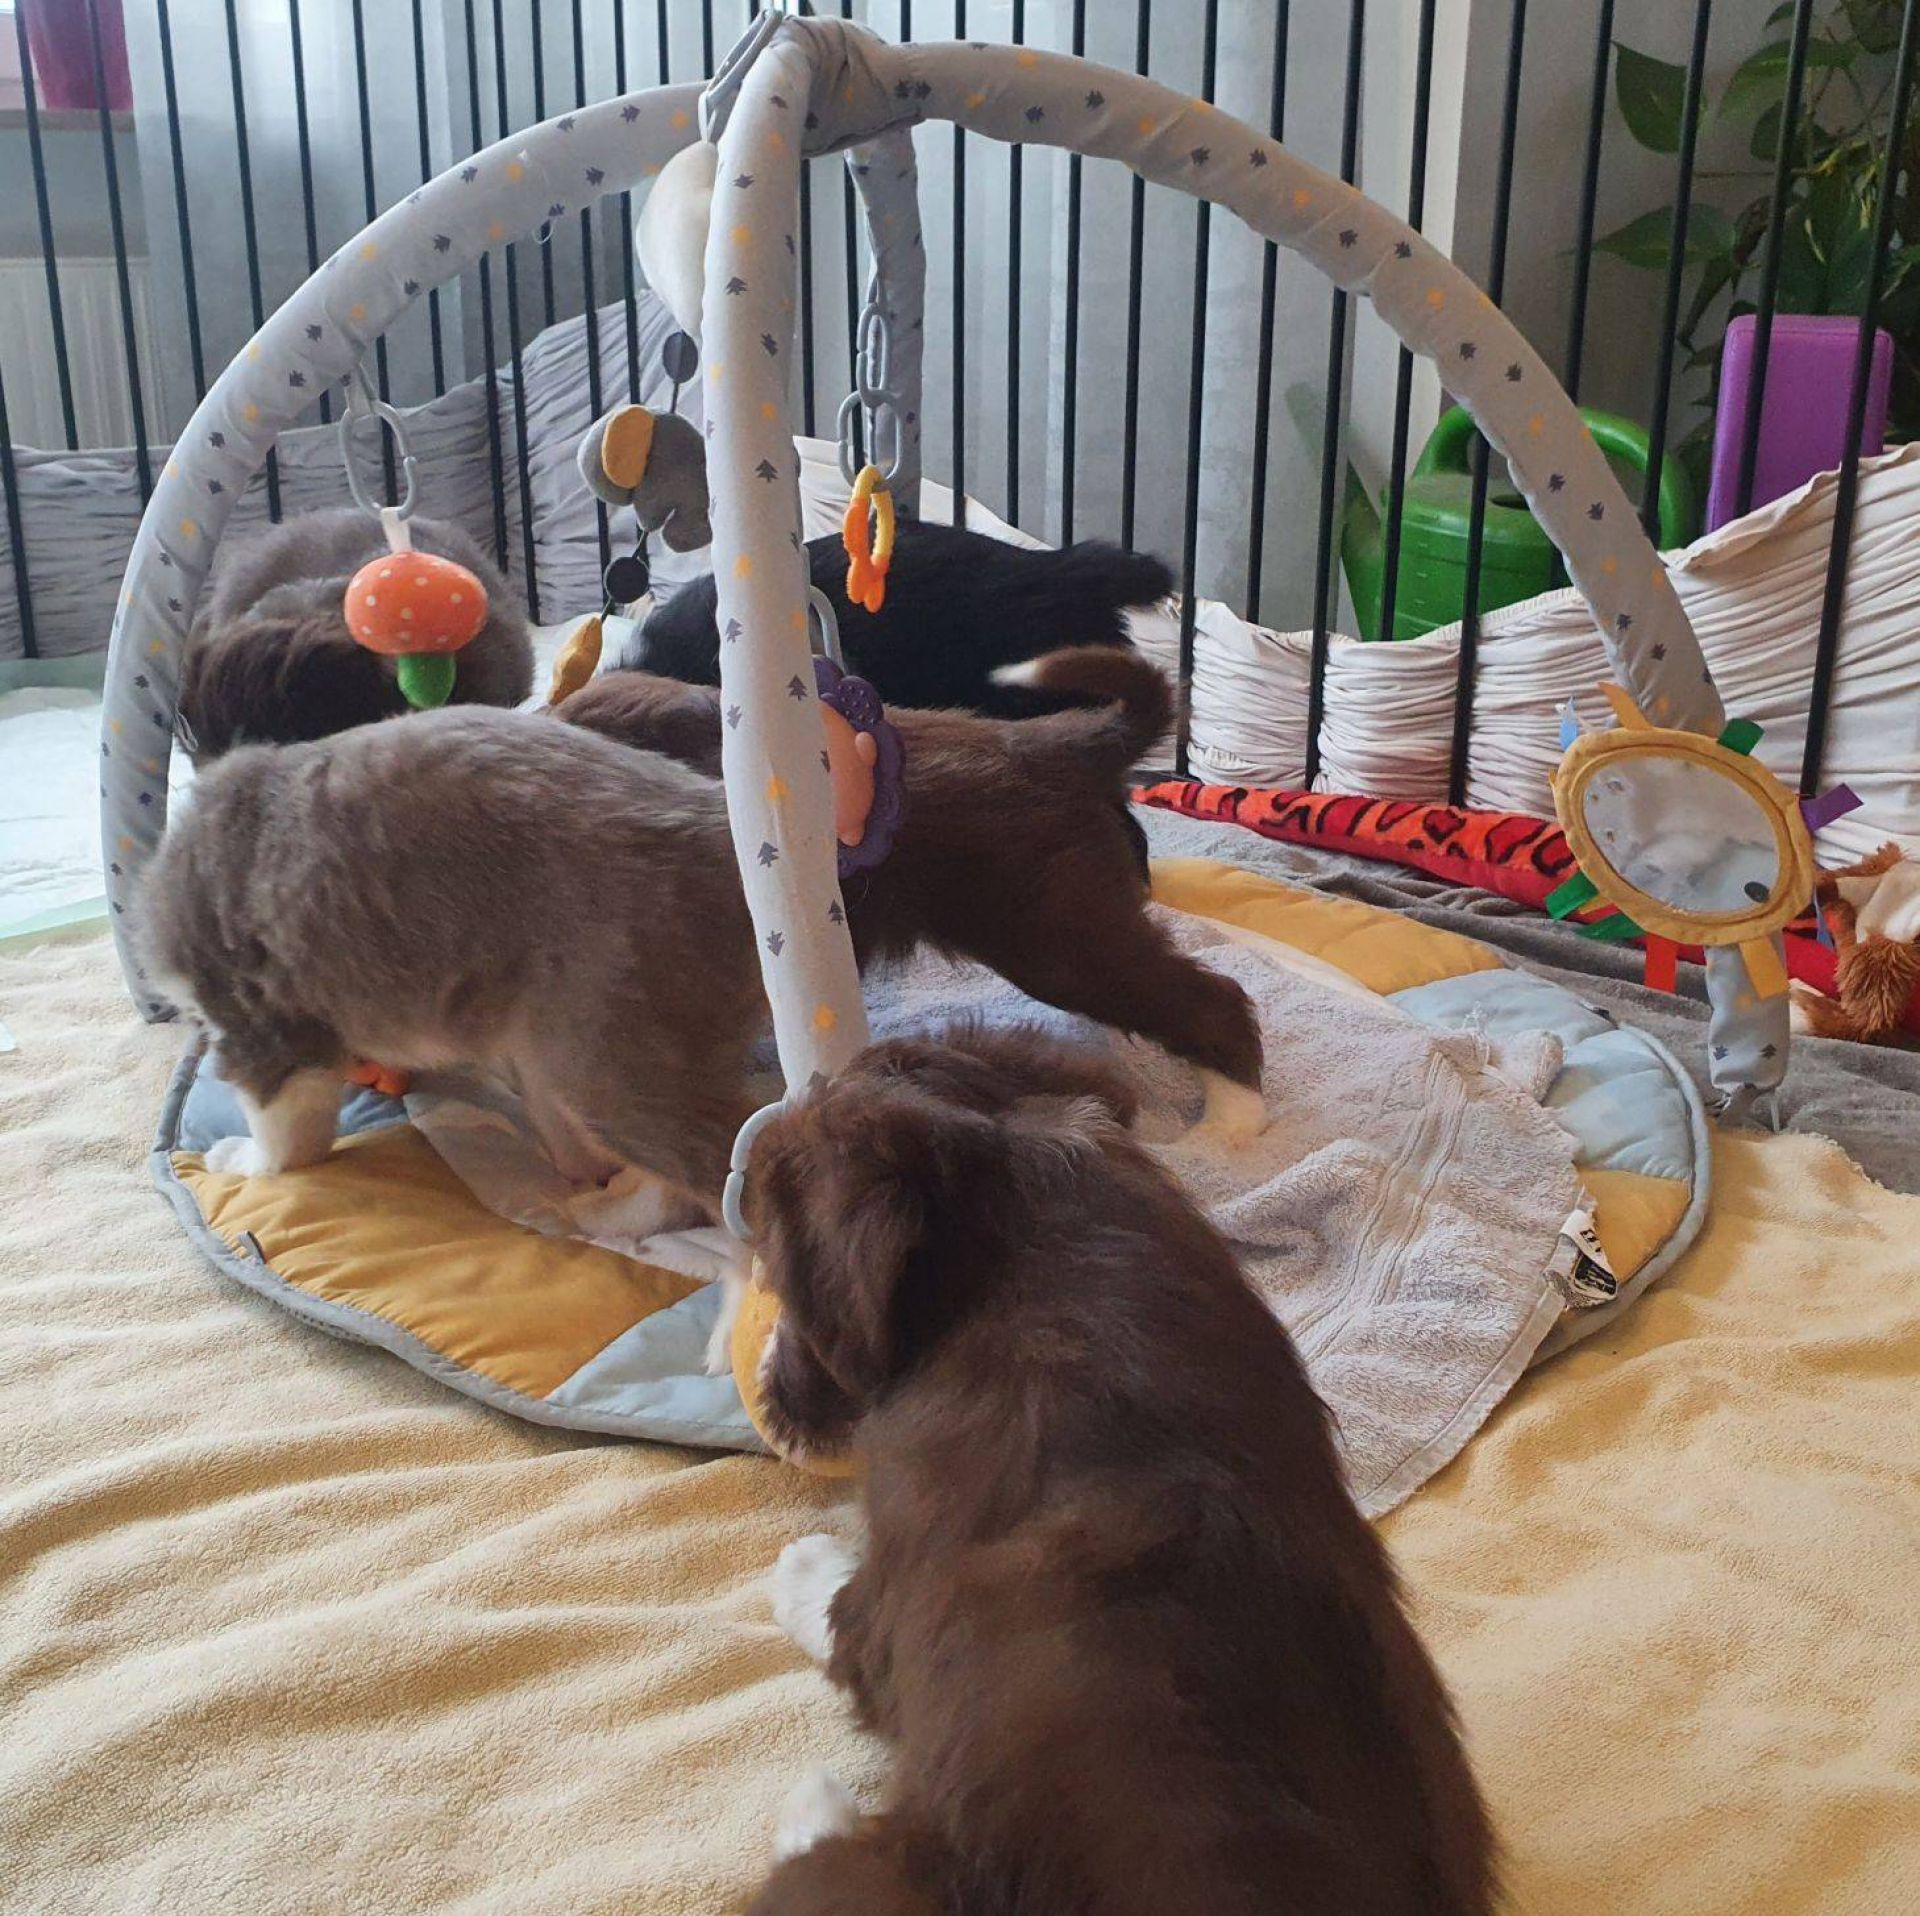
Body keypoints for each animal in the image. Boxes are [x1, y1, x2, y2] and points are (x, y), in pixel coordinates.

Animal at [137, 706, 763, 1239]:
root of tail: (718, 818)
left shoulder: (260, 1028)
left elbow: (286, 1139)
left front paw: (243, 1162)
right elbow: (560, 1132)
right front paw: (578, 1165)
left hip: (607, 1056)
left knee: (706, 1182)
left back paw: (605, 1216)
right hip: (567, 1037)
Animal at [742, 1026, 1497, 1916]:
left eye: (775, 1272)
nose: (768, 1396)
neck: (1035, 1234)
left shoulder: (888, 1605)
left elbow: (833, 1603)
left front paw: (800, 1563)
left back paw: (814, 1807)